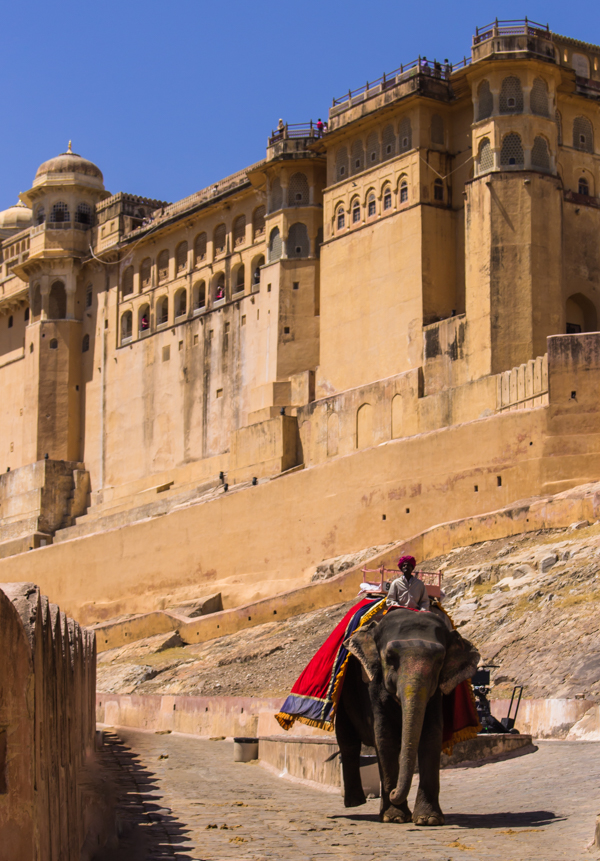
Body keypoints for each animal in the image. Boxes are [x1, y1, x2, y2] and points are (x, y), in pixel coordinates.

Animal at [335, 607, 480, 825]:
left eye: (440, 660)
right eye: (389, 657)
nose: (394, 791)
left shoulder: (435, 694)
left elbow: (431, 736)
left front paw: (428, 820)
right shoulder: (372, 686)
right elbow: (385, 738)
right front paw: (395, 817)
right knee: (348, 742)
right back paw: (355, 803)